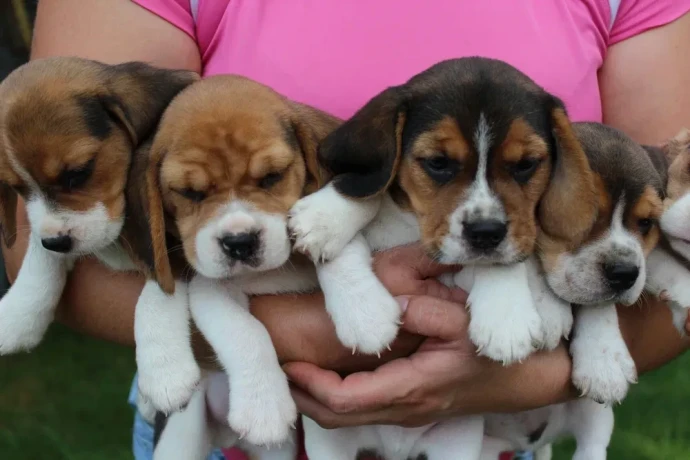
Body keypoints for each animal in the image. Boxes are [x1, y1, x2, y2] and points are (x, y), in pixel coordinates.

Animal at [296, 57, 596, 460]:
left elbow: (507, 257)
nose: (485, 232)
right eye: (438, 162)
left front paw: (505, 318)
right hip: (330, 445)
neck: (413, 228)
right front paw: (364, 314)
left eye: (527, 164)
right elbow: (354, 224)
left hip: (456, 442)